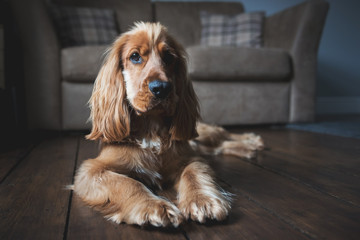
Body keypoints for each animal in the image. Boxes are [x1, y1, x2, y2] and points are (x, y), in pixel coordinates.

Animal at [71, 22, 262, 227]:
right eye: (135, 56)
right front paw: (154, 206)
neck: (151, 129)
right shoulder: (91, 170)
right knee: (218, 146)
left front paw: (202, 201)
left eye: (169, 57)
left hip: (202, 133)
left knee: (221, 135)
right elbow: (126, 183)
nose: (161, 88)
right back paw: (249, 148)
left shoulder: (189, 158)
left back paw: (251, 140)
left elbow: (193, 173)